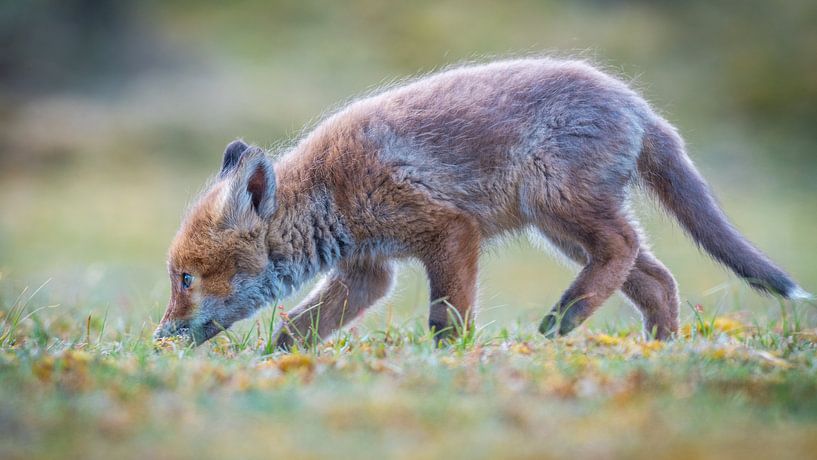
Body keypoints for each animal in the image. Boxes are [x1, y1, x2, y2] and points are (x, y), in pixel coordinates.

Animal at [153, 57, 810, 348]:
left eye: (186, 279)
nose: (159, 338)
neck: (329, 193)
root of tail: (636, 103)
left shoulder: (449, 232)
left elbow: (448, 318)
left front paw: (452, 361)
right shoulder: (368, 270)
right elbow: (296, 330)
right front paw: (272, 365)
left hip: (556, 205)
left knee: (625, 248)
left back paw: (565, 319)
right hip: (562, 230)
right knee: (656, 275)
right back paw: (660, 348)